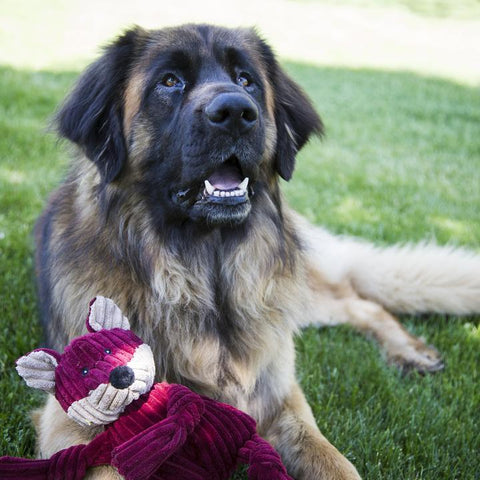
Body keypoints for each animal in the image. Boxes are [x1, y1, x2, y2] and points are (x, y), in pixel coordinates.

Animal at [34, 24, 480, 478]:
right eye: (170, 81)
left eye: (246, 80)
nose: (235, 111)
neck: (204, 275)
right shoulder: (70, 423)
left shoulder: (281, 394)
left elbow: (334, 462)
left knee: (361, 303)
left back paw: (410, 351)